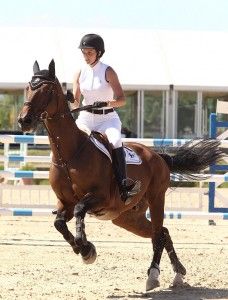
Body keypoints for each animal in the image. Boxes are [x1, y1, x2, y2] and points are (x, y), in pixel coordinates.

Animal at [18, 59, 224, 292]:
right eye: (28, 88)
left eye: (47, 90)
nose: (24, 120)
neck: (69, 155)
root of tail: (158, 155)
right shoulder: (64, 203)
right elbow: (59, 223)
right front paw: (84, 249)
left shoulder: (100, 198)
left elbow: (80, 210)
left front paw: (86, 248)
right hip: (127, 217)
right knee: (162, 232)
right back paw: (178, 273)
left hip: (156, 199)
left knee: (158, 236)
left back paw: (153, 275)